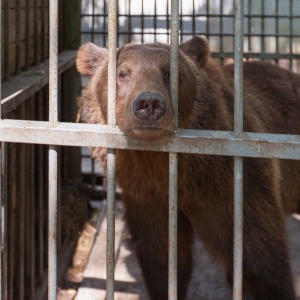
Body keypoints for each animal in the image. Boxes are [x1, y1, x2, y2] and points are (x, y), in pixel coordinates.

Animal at [77, 36, 300, 298]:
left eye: (169, 72)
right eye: (122, 73)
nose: (149, 103)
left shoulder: (235, 188)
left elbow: (261, 258)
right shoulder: (147, 198)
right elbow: (162, 259)